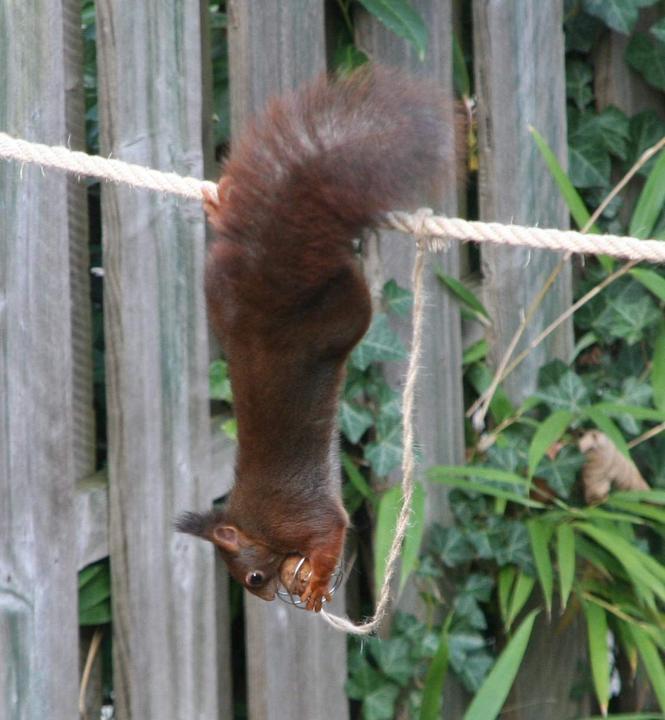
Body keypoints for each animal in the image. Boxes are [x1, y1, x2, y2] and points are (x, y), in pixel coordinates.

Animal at [176, 65, 449, 612]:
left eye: (252, 577)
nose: (264, 599)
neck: (254, 522)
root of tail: (265, 300)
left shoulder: (301, 518)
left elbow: (331, 534)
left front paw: (320, 581)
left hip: (341, 317)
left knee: (352, 291)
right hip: (222, 298)